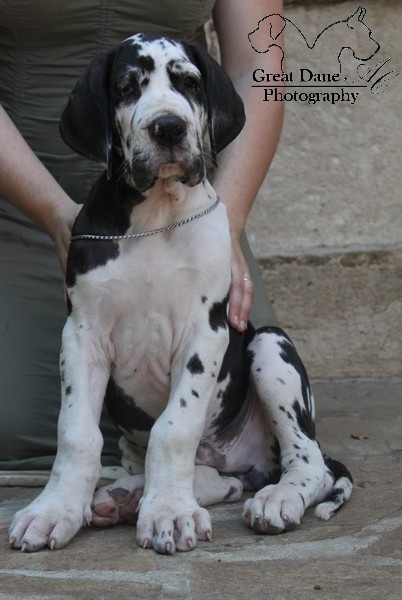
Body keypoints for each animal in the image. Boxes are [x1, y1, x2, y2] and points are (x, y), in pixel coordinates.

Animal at [9, 33, 353, 554]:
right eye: (127, 87)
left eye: (188, 82)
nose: (168, 127)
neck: (156, 216)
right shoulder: (82, 334)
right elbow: (76, 433)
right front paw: (54, 510)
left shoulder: (205, 332)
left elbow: (173, 428)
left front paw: (169, 512)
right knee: (217, 478)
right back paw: (126, 495)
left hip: (269, 345)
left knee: (308, 460)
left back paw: (276, 498)